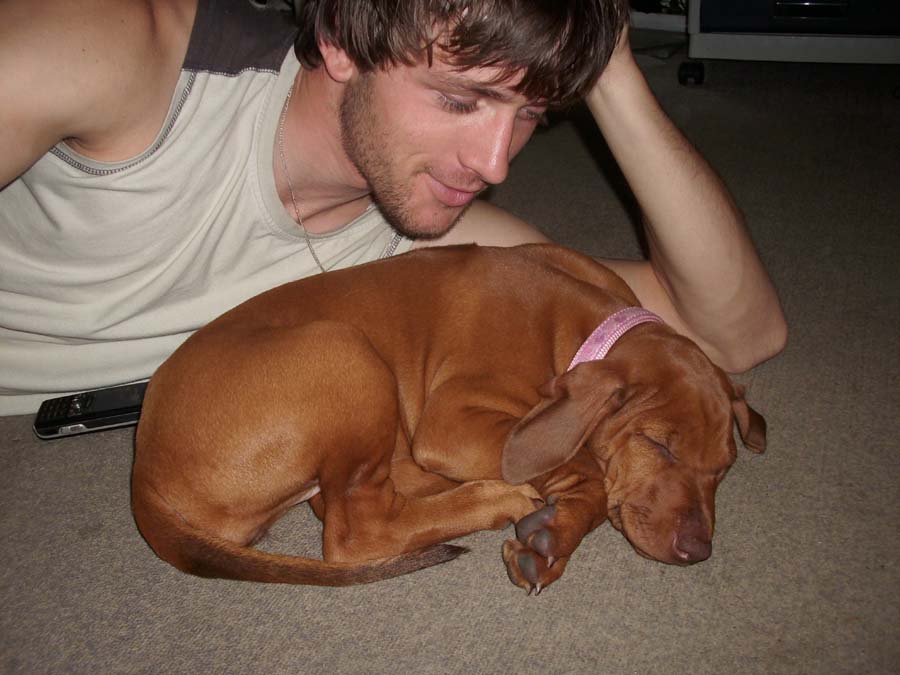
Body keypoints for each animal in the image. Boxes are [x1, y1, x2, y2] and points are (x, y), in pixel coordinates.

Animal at [132, 244, 766, 592]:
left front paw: (553, 534)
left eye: (724, 469)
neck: (577, 327)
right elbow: (587, 462)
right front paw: (555, 520)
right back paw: (491, 498)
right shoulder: (453, 422)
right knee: (355, 532)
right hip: (345, 351)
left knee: (344, 506)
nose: (696, 551)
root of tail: (142, 468)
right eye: (661, 447)